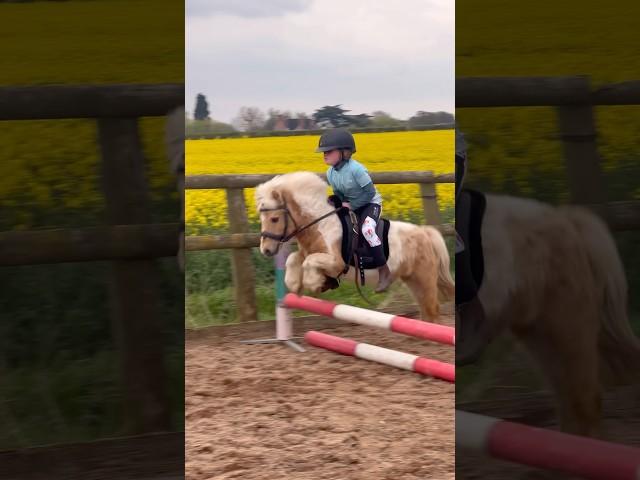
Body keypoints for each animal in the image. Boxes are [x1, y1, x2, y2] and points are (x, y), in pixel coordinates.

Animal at [255, 172, 456, 322]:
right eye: (262, 218)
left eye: (275, 219)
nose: (266, 250)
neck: (321, 225)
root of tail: (425, 233)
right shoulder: (307, 252)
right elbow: (294, 259)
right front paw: (296, 286)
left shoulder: (336, 262)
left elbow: (309, 262)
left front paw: (317, 283)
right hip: (413, 280)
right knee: (426, 311)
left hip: (424, 279)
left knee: (432, 310)